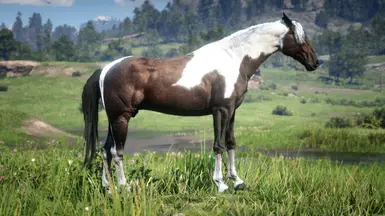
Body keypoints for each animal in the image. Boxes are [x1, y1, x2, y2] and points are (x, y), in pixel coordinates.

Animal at [80, 12, 318, 193]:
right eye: (301, 37)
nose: (315, 62)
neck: (233, 58)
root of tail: (106, 69)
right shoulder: (220, 110)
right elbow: (218, 145)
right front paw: (221, 184)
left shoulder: (232, 111)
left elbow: (231, 142)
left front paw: (238, 182)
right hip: (121, 118)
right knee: (116, 152)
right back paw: (124, 187)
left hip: (114, 119)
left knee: (105, 150)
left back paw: (108, 188)